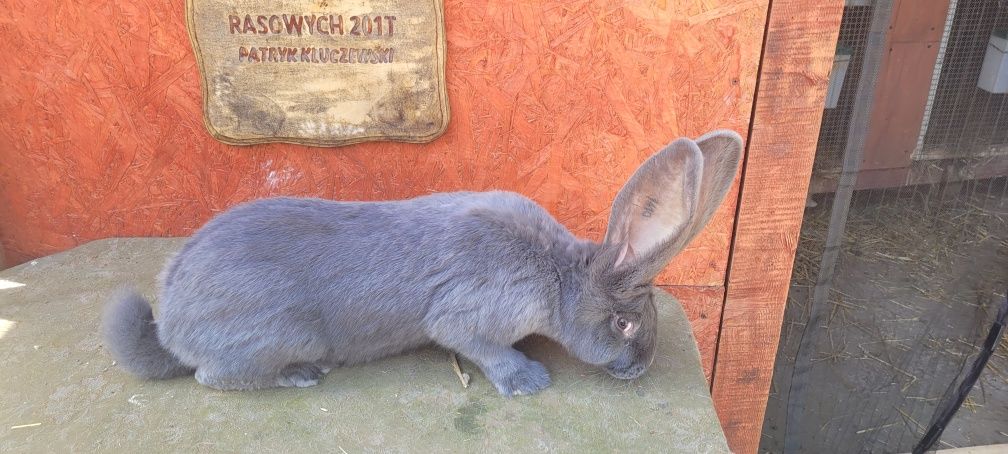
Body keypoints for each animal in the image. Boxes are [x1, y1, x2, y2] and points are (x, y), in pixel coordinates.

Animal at [104, 129, 741, 395]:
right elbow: (475, 345)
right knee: (213, 377)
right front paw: (528, 381)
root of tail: (173, 326)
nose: (640, 368)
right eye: (625, 324)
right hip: (277, 333)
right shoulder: (468, 317)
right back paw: (299, 375)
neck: (558, 277)